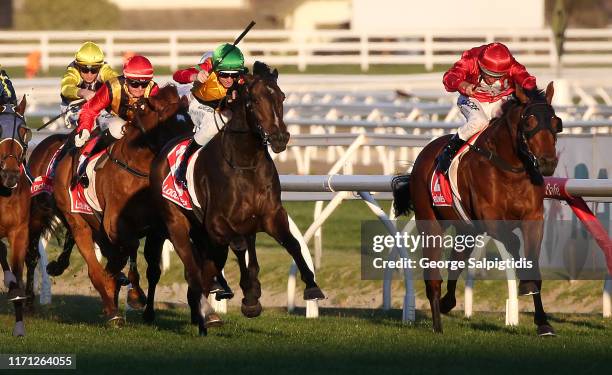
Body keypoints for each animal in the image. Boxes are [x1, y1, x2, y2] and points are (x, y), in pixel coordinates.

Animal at [28, 84, 189, 324]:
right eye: (171, 125)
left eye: (190, 123)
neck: (137, 167)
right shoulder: (114, 224)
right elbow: (128, 249)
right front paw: (133, 293)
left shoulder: (156, 228)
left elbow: (149, 267)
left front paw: (142, 305)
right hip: (66, 219)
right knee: (62, 261)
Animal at [149, 62, 326, 338]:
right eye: (254, 101)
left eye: (282, 97)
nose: (279, 138)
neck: (246, 162)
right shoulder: (217, 223)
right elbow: (241, 246)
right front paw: (251, 297)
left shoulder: (271, 215)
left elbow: (293, 244)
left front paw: (311, 286)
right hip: (177, 226)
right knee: (194, 269)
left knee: (207, 271)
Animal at [394, 83, 560, 336]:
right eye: (529, 121)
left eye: (555, 122)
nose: (547, 162)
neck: (510, 168)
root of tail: (424, 153)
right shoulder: (490, 219)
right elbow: (513, 243)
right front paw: (525, 283)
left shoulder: (533, 218)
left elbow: (532, 261)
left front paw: (543, 322)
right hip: (430, 222)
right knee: (433, 276)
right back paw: (438, 324)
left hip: (467, 229)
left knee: (456, 261)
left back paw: (447, 302)